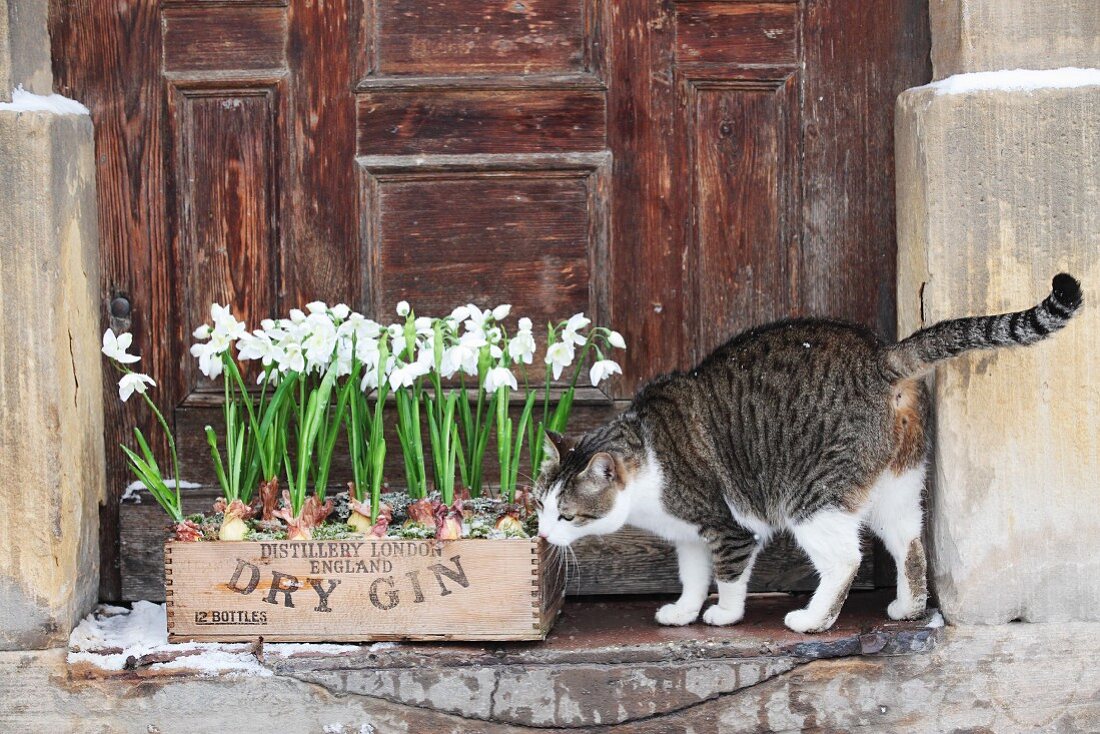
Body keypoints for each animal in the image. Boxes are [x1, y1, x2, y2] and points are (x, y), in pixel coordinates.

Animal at [532, 274, 1082, 633]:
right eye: (539, 507)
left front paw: (723, 615)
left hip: (811, 498)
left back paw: (813, 620)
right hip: (897, 488)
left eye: (566, 515)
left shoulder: (727, 527)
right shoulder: (690, 537)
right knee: (909, 544)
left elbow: (728, 576)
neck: (648, 458)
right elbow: (692, 576)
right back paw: (907, 608)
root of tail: (882, 357)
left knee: (845, 559)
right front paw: (683, 611)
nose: (541, 535)